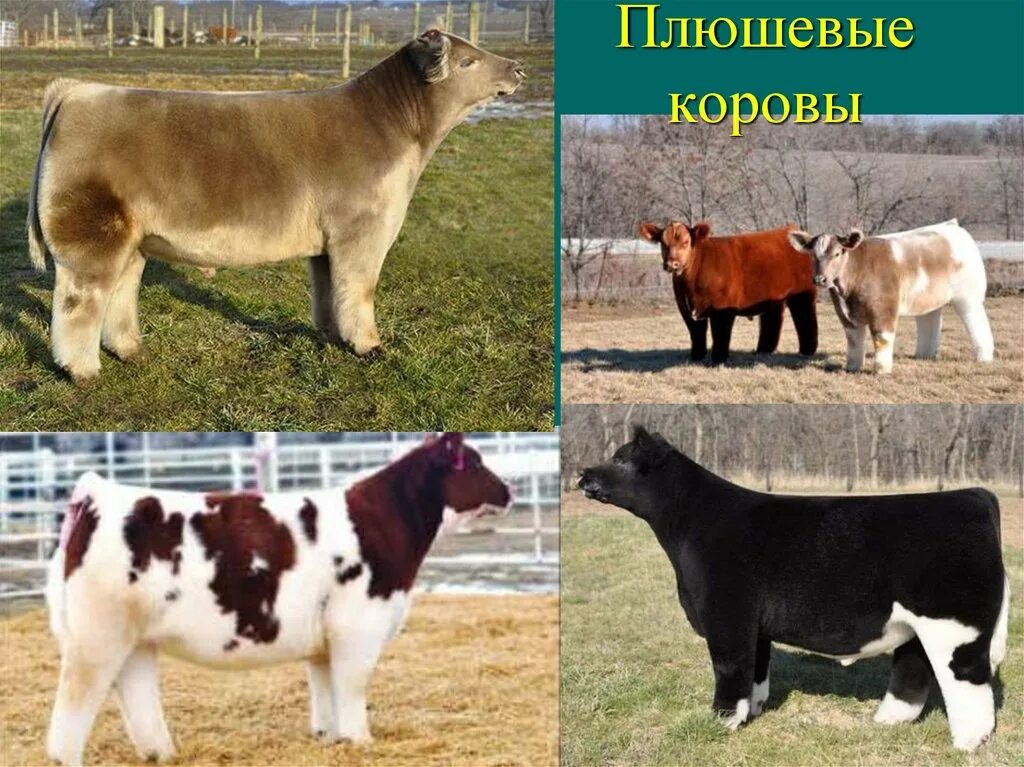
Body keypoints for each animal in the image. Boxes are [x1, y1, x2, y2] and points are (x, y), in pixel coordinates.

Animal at [26, 30, 525, 384]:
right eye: (468, 61)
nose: (518, 68)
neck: (398, 130)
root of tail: (78, 90)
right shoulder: (363, 232)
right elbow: (360, 290)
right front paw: (370, 346)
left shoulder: (328, 244)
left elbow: (329, 290)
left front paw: (331, 336)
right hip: (93, 234)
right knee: (79, 302)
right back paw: (82, 372)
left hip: (132, 240)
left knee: (120, 294)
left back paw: (133, 352)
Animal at [44, 433, 511, 766]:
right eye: (475, 462)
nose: (509, 491)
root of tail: (95, 492)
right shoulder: (358, 625)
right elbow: (353, 685)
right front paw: (360, 740)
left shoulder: (325, 638)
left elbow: (324, 687)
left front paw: (330, 737)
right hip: (97, 636)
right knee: (73, 704)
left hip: (135, 638)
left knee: (136, 694)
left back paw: (163, 754)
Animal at [578, 426, 1009, 752]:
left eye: (621, 459)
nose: (583, 475)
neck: (691, 524)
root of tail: (973, 495)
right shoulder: (756, 626)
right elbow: (756, 671)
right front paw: (750, 713)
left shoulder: (727, 615)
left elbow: (730, 668)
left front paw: (720, 722)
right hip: (918, 626)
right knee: (913, 670)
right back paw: (888, 722)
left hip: (953, 625)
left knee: (967, 681)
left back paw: (968, 743)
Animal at [638, 222, 818, 364]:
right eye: (663, 243)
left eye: (686, 242)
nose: (672, 264)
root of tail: (791, 229)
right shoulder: (685, 308)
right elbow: (696, 333)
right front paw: (696, 357)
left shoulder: (723, 309)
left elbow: (720, 334)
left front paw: (718, 359)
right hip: (773, 297)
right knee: (772, 320)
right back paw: (763, 350)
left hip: (802, 295)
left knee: (805, 320)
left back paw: (807, 351)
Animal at [787, 220, 994, 374]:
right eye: (813, 255)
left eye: (837, 253)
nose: (820, 279)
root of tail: (952, 226)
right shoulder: (847, 316)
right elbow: (854, 340)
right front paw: (852, 367)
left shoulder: (883, 310)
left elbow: (882, 339)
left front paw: (881, 370)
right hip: (928, 299)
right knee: (929, 321)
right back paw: (924, 355)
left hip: (968, 298)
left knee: (978, 324)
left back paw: (984, 357)